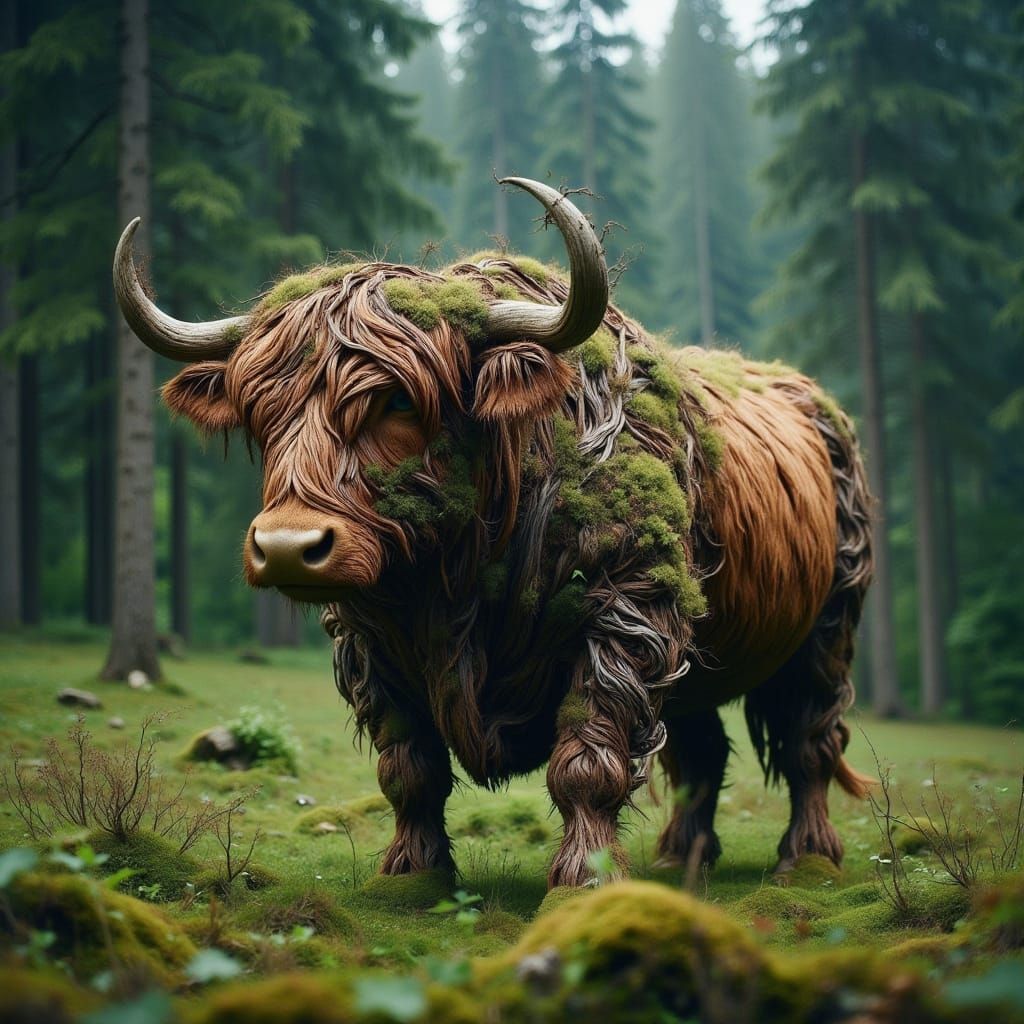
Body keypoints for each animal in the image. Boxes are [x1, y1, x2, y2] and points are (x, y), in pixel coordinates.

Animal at [113, 178, 873, 888]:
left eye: (398, 400)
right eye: (260, 412)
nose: (287, 549)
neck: (461, 566)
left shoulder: (628, 613)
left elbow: (588, 760)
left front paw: (584, 877)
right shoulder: (369, 644)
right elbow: (408, 767)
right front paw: (411, 872)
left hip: (828, 629)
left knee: (810, 740)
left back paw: (806, 856)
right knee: (701, 747)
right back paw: (681, 856)